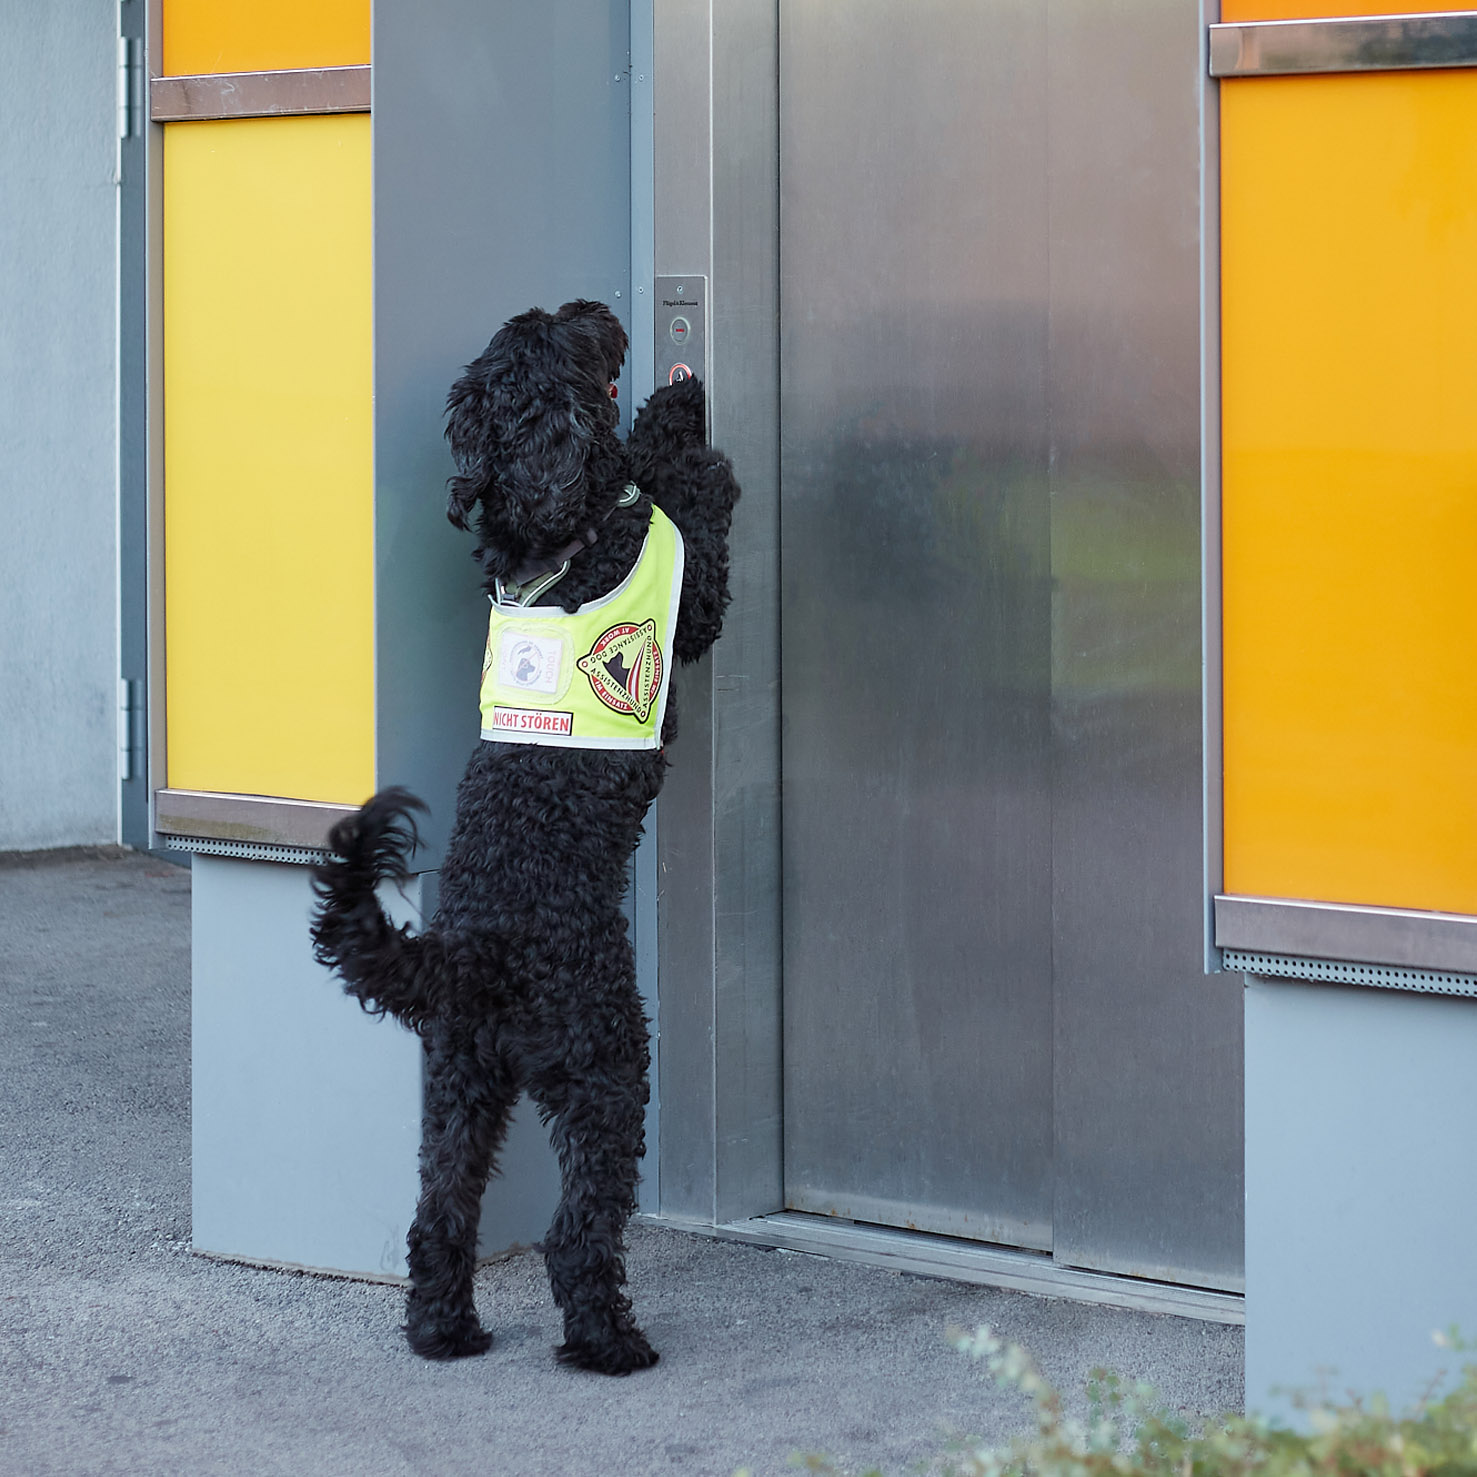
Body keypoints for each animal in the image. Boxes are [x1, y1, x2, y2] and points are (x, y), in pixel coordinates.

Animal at [311, 299, 738, 1370]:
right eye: (563, 335)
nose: (598, 307)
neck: (554, 543)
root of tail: (473, 952)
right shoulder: (694, 601)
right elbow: (692, 527)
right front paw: (679, 430)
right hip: (605, 1058)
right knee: (577, 1227)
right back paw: (608, 1340)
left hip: (458, 1080)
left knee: (440, 1212)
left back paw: (444, 1329)